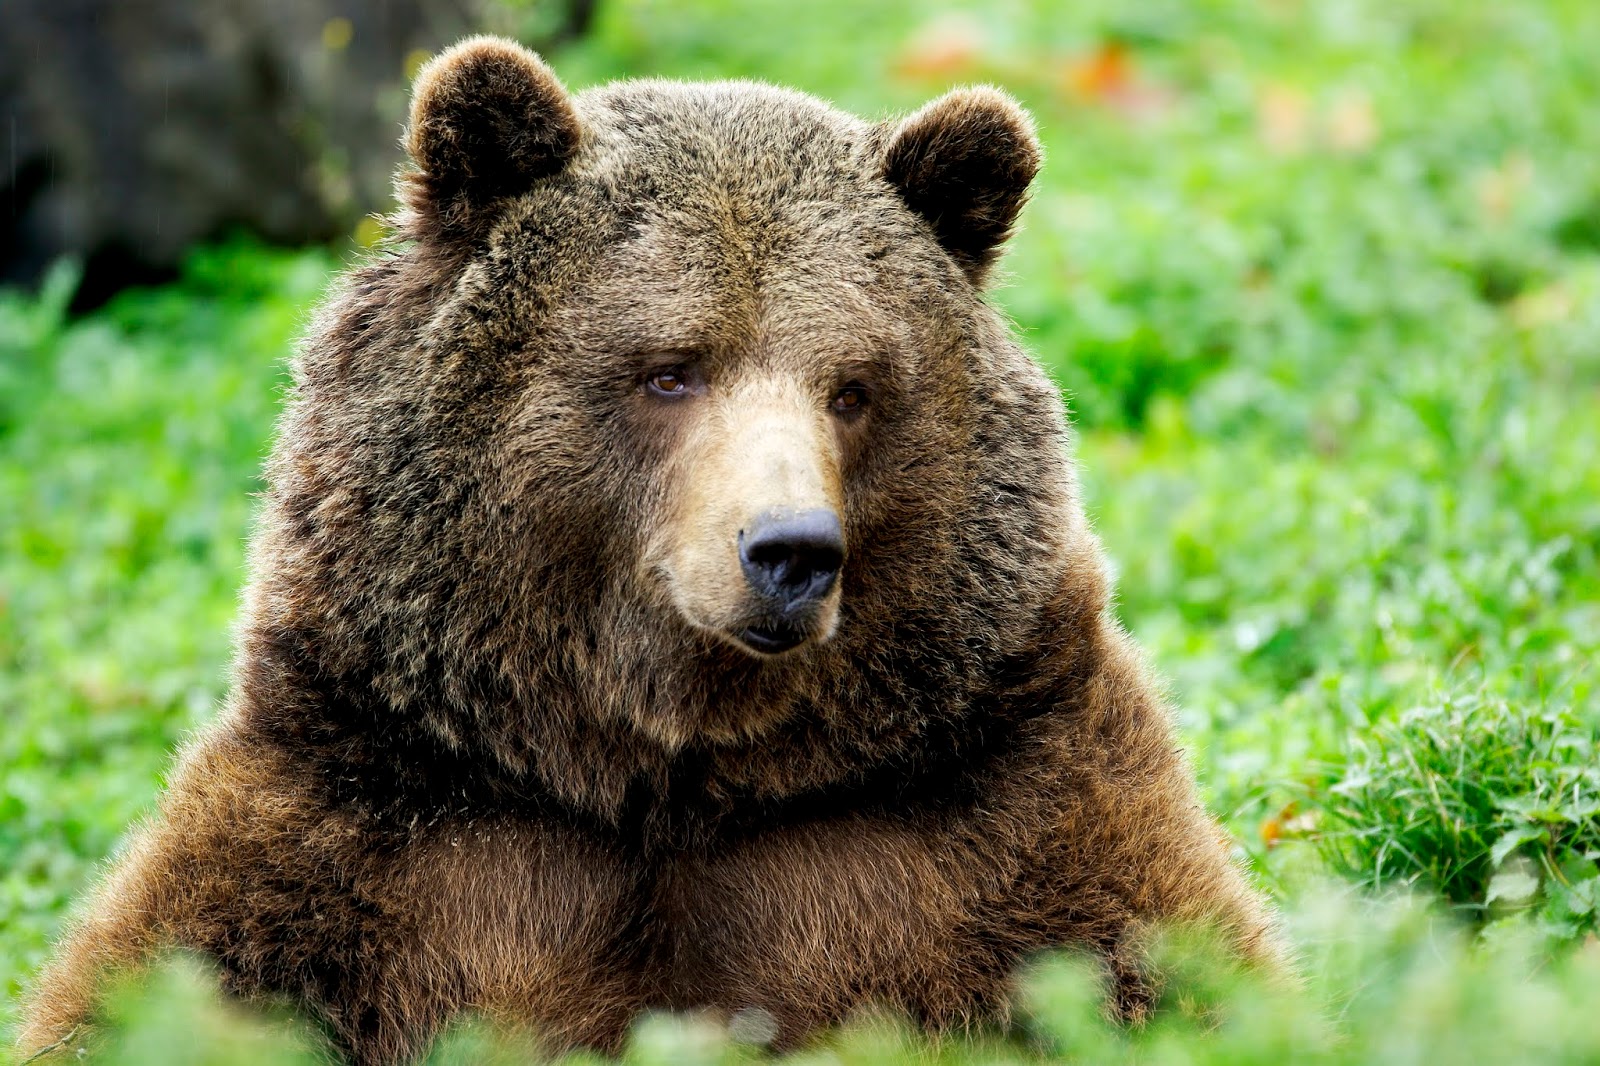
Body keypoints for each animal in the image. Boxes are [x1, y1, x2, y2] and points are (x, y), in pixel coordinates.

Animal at [18, 35, 1283, 1065]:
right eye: (669, 369)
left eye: (853, 387)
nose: (790, 551)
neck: (662, 765)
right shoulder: (373, 802)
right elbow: (161, 980)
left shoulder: (993, 787)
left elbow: (1168, 971)